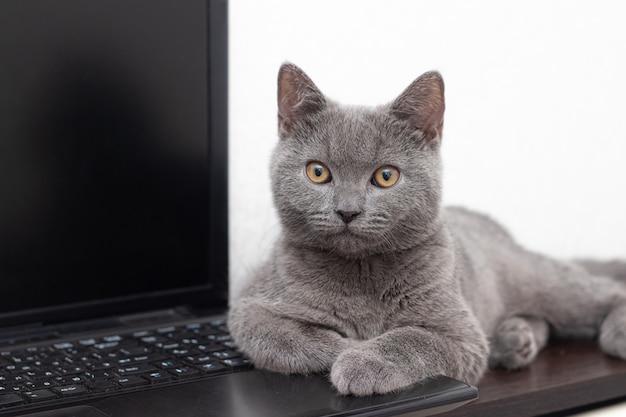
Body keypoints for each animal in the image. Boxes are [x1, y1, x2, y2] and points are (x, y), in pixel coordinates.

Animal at [227, 63, 624, 394]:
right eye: (318, 172)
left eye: (386, 176)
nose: (348, 210)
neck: (362, 274)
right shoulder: (251, 307)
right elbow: (290, 338)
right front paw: (349, 347)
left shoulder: (461, 334)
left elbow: (412, 339)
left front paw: (362, 360)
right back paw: (514, 341)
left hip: (538, 279)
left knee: (602, 291)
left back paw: (612, 333)